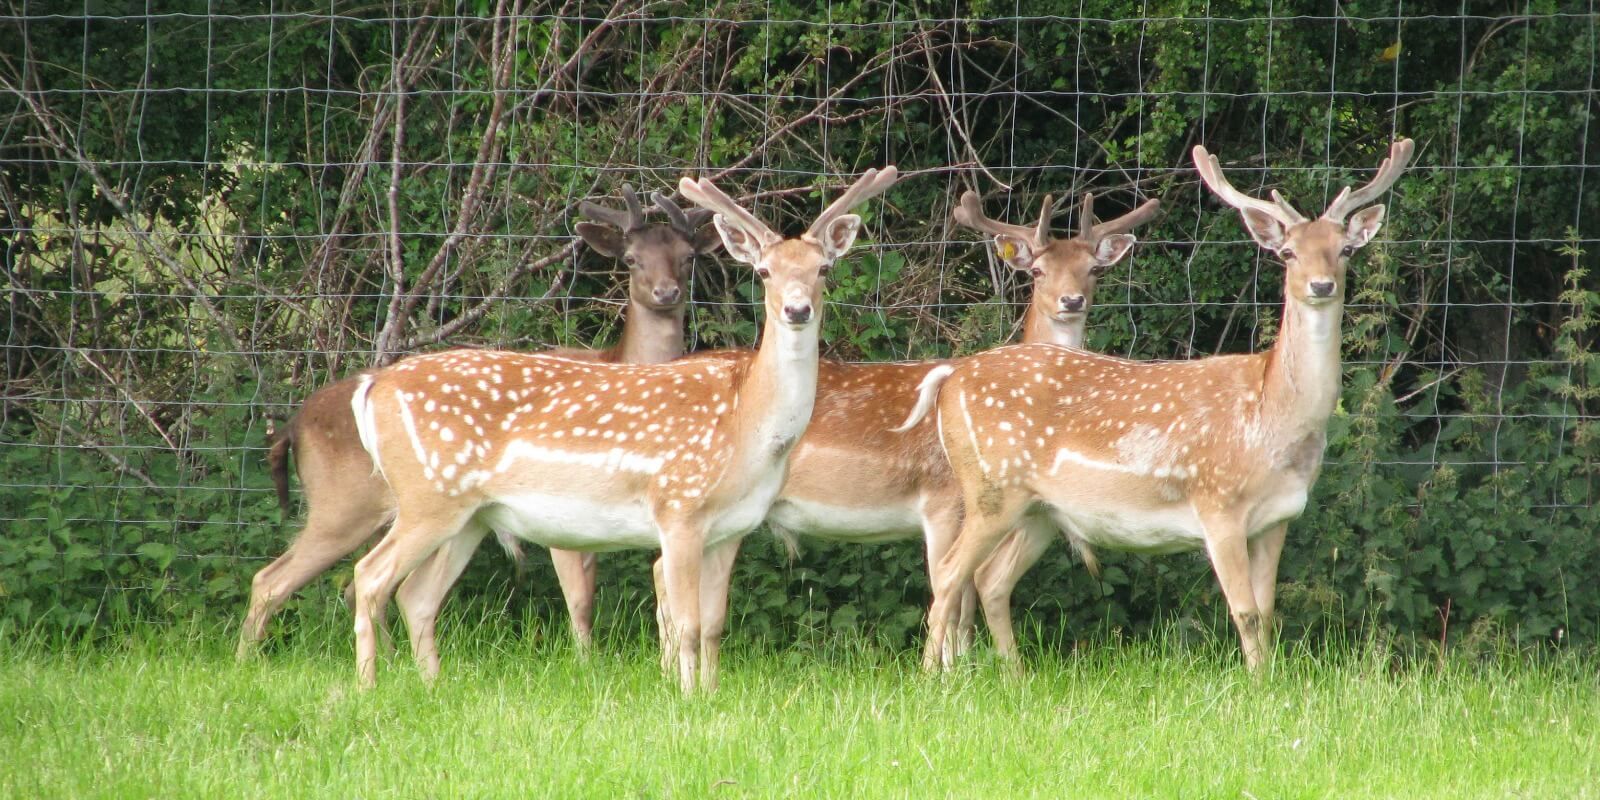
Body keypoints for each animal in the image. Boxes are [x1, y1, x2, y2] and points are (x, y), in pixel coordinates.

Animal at [233, 184, 716, 659]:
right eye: (631, 259)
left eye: (688, 257)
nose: (667, 292)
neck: (617, 362)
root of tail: (293, 426)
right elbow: (579, 599)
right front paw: (585, 664)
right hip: (342, 503)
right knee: (275, 580)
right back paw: (249, 661)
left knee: (358, 586)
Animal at [345, 167, 902, 688]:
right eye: (763, 271)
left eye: (823, 268)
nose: (797, 309)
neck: (749, 425)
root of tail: (373, 387)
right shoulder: (678, 508)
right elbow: (686, 624)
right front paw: (687, 698)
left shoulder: (732, 528)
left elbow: (714, 624)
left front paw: (712, 693)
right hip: (427, 496)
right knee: (368, 576)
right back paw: (368, 689)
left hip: (471, 514)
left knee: (416, 594)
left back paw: (431, 687)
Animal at [643, 188, 1158, 668]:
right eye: (1037, 272)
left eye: (1094, 270)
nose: (1072, 301)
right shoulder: (944, 501)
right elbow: (954, 592)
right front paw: (953, 671)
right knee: (664, 569)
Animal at [902, 139, 1414, 668]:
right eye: (1288, 252)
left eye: (1346, 249)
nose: (1321, 285)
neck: (1272, 419)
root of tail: (951, 378)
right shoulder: (1218, 504)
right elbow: (1246, 612)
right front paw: (1256, 681)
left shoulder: (1279, 518)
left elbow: (1268, 611)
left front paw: (1269, 676)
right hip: (990, 487)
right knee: (948, 573)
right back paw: (933, 675)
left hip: (1039, 509)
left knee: (988, 578)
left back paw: (1013, 674)